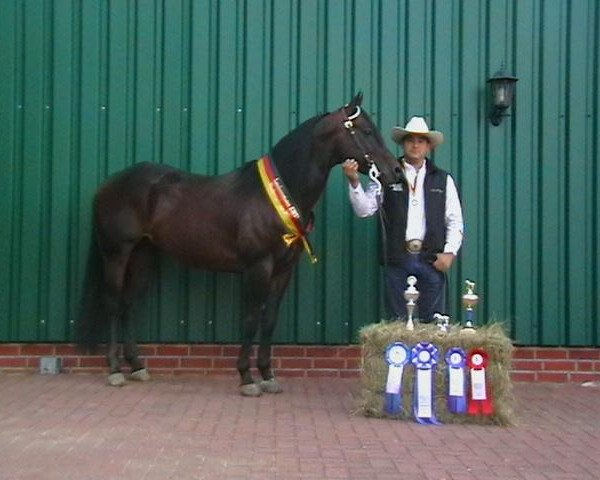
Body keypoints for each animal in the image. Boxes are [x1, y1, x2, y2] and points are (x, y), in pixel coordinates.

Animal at [78, 92, 398, 396]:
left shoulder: (283, 271)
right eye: (367, 131)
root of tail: (107, 185)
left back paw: (137, 366)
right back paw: (115, 371)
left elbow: (269, 320)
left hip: (142, 255)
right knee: (113, 304)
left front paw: (268, 376)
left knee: (128, 305)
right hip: (117, 254)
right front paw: (246, 378)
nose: (394, 170)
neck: (280, 193)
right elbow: (250, 319)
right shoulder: (258, 268)